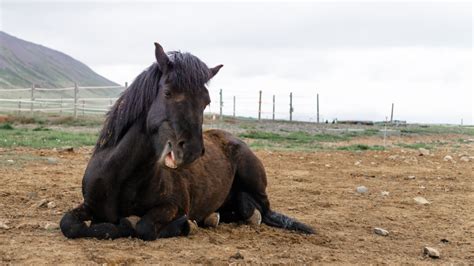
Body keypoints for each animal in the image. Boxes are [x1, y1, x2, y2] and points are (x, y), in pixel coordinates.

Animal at [61, 42, 314, 241]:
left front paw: (183, 225)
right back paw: (216, 216)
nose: (191, 151)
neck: (123, 176)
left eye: (206, 101)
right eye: (168, 93)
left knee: (266, 211)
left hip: (253, 175)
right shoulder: (90, 204)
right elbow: (69, 225)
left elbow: (143, 227)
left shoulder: (173, 205)